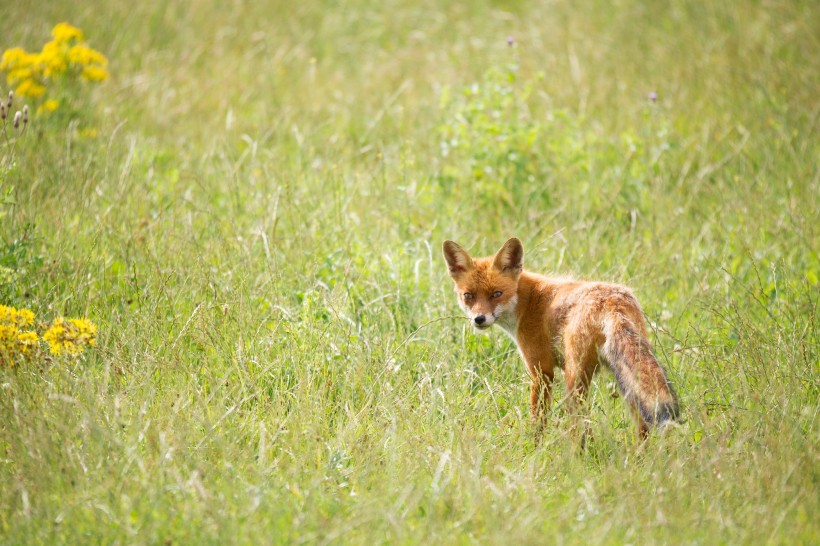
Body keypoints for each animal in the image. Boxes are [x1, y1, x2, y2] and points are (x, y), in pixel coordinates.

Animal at [442, 237, 680, 438]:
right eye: (468, 296)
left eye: (497, 294)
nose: (479, 319)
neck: (527, 303)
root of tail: (612, 301)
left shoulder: (542, 372)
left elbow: (538, 422)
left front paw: (533, 449)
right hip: (627, 379)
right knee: (642, 426)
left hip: (574, 379)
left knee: (581, 427)